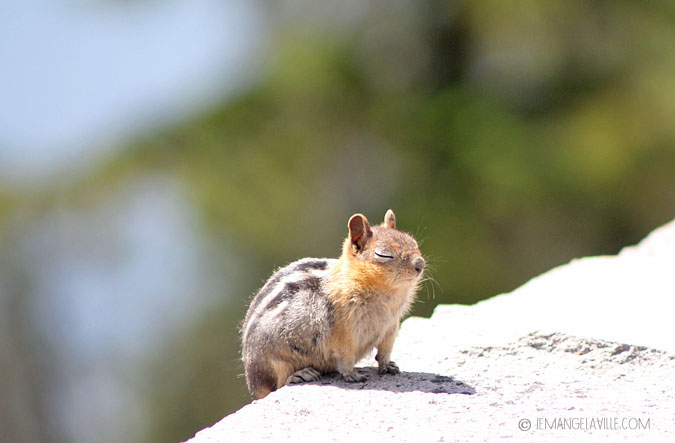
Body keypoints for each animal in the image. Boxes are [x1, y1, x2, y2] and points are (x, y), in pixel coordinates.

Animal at [240, 210, 426, 400]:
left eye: (413, 242)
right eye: (384, 254)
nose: (420, 264)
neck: (389, 295)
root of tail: (252, 383)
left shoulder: (390, 327)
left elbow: (385, 351)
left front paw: (387, 365)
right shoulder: (344, 332)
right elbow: (345, 357)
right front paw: (351, 375)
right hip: (273, 360)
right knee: (278, 381)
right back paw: (300, 374)